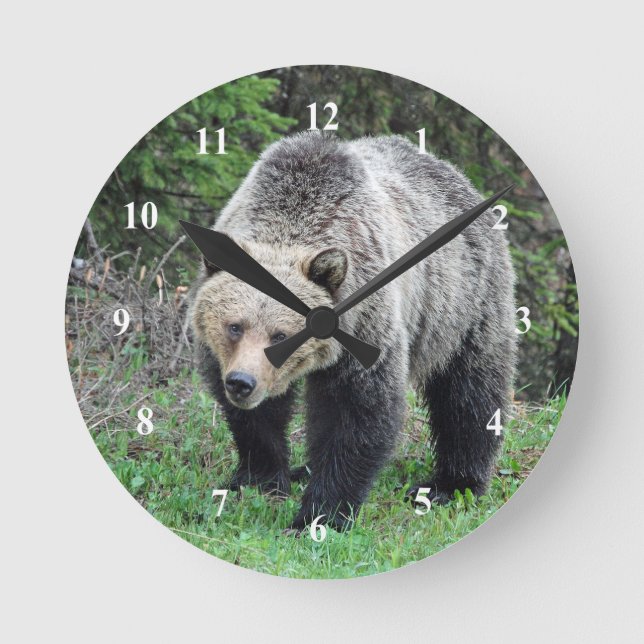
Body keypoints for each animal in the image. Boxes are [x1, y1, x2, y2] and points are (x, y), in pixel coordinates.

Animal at [188, 132, 517, 532]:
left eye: (281, 335)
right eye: (234, 326)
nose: (241, 383)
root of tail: (455, 174)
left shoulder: (366, 326)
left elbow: (356, 413)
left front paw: (318, 516)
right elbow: (257, 419)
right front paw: (259, 478)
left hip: (464, 304)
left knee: (469, 392)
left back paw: (451, 484)